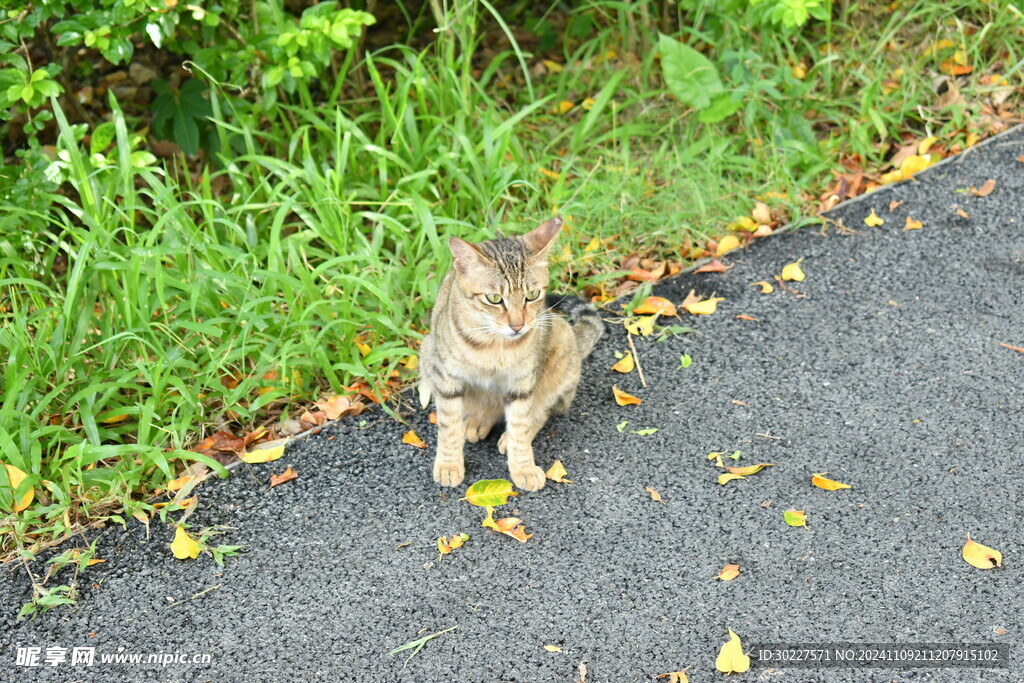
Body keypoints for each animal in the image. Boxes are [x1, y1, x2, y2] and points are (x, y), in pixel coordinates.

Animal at [419, 219, 602, 491]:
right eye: (494, 298)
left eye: (532, 295)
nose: (518, 325)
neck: (495, 346)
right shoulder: (445, 378)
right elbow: (448, 426)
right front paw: (449, 464)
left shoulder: (522, 382)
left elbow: (520, 424)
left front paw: (523, 467)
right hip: (426, 350)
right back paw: (476, 422)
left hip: (561, 342)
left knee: (542, 411)